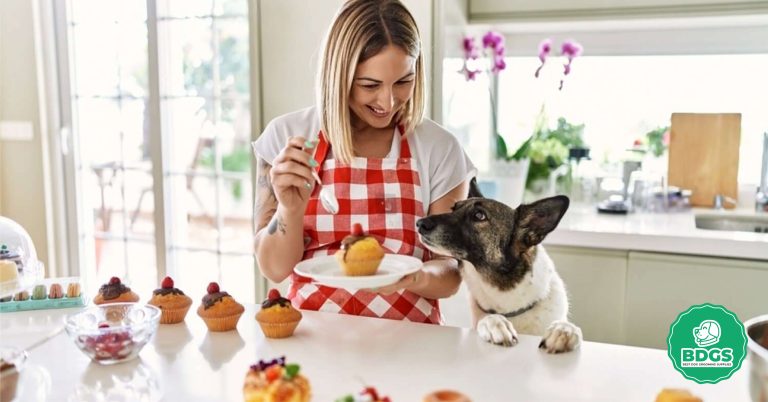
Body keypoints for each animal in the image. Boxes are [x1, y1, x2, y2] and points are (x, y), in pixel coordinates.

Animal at [416, 193, 580, 354]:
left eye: (479, 215)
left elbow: (566, 326)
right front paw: (496, 323)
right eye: (453, 208)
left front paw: (564, 330)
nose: (420, 223)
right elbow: (490, 319)